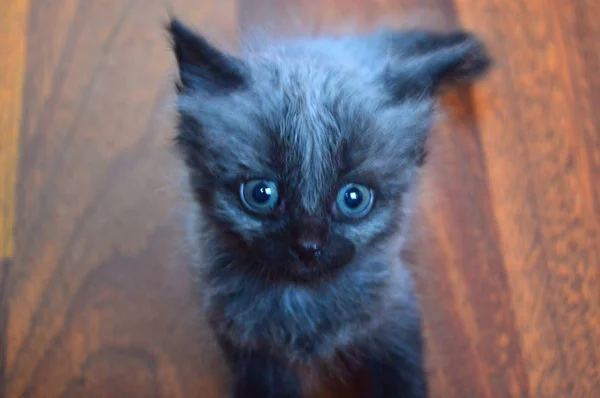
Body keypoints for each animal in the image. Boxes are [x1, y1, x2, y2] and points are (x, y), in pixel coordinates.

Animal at [168, 18, 492, 398]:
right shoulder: (250, 347)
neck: (301, 299)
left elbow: (403, 379)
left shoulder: (394, 315)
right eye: (261, 193)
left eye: (354, 198)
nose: (308, 246)